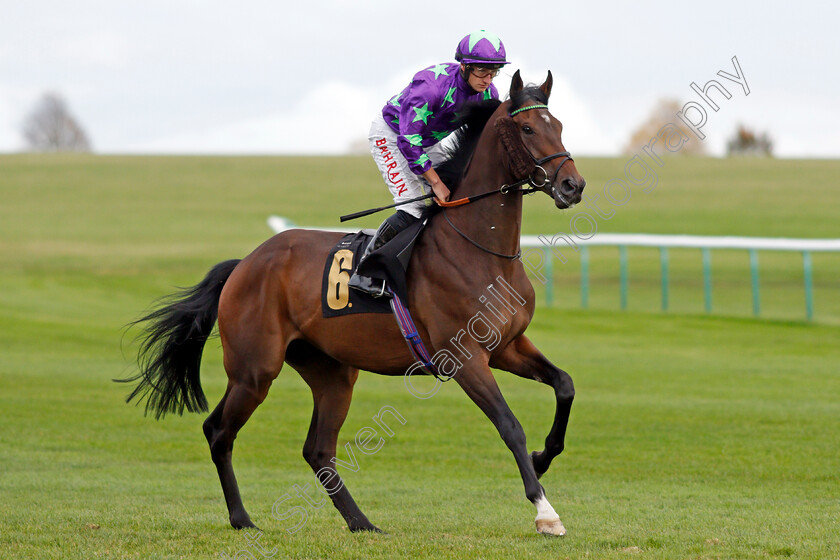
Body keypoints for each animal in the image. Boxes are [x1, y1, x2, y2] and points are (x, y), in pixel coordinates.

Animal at [124, 72, 584, 536]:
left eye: (560, 126)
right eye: (527, 128)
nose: (573, 185)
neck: (479, 248)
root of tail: (245, 264)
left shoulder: (507, 346)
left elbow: (565, 384)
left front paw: (544, 457)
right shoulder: (464, 357)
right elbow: (510, 426)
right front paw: (545, 511)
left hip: (332, 373)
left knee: (317, 449)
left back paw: (361, 522)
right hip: (255, 370)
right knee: (218, 431)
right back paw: (242, 518)